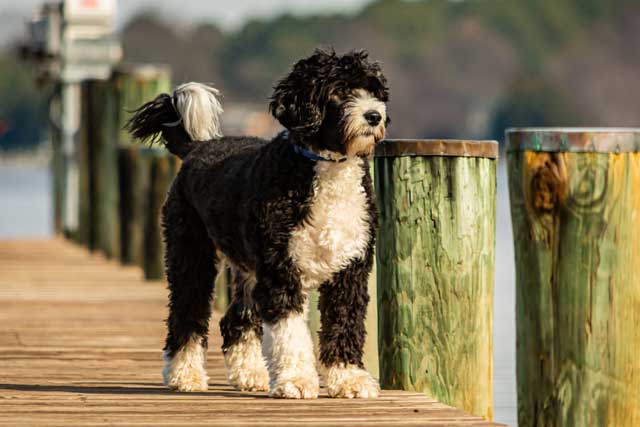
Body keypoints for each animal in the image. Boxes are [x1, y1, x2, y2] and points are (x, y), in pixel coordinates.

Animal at [127, 50, 388, 402]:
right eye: (338, 91)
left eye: (373, 90)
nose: (374, 115)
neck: (323, 167)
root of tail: (197, 148)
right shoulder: (281, 271)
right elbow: (290, 332)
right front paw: (296, 381)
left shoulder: (350, 268)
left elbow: (344, 322)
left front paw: (348, 379)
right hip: (191, 254)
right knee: (187, 313)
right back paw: (185, 374)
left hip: (247, 270)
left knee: (235, 320)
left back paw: (249, 374)